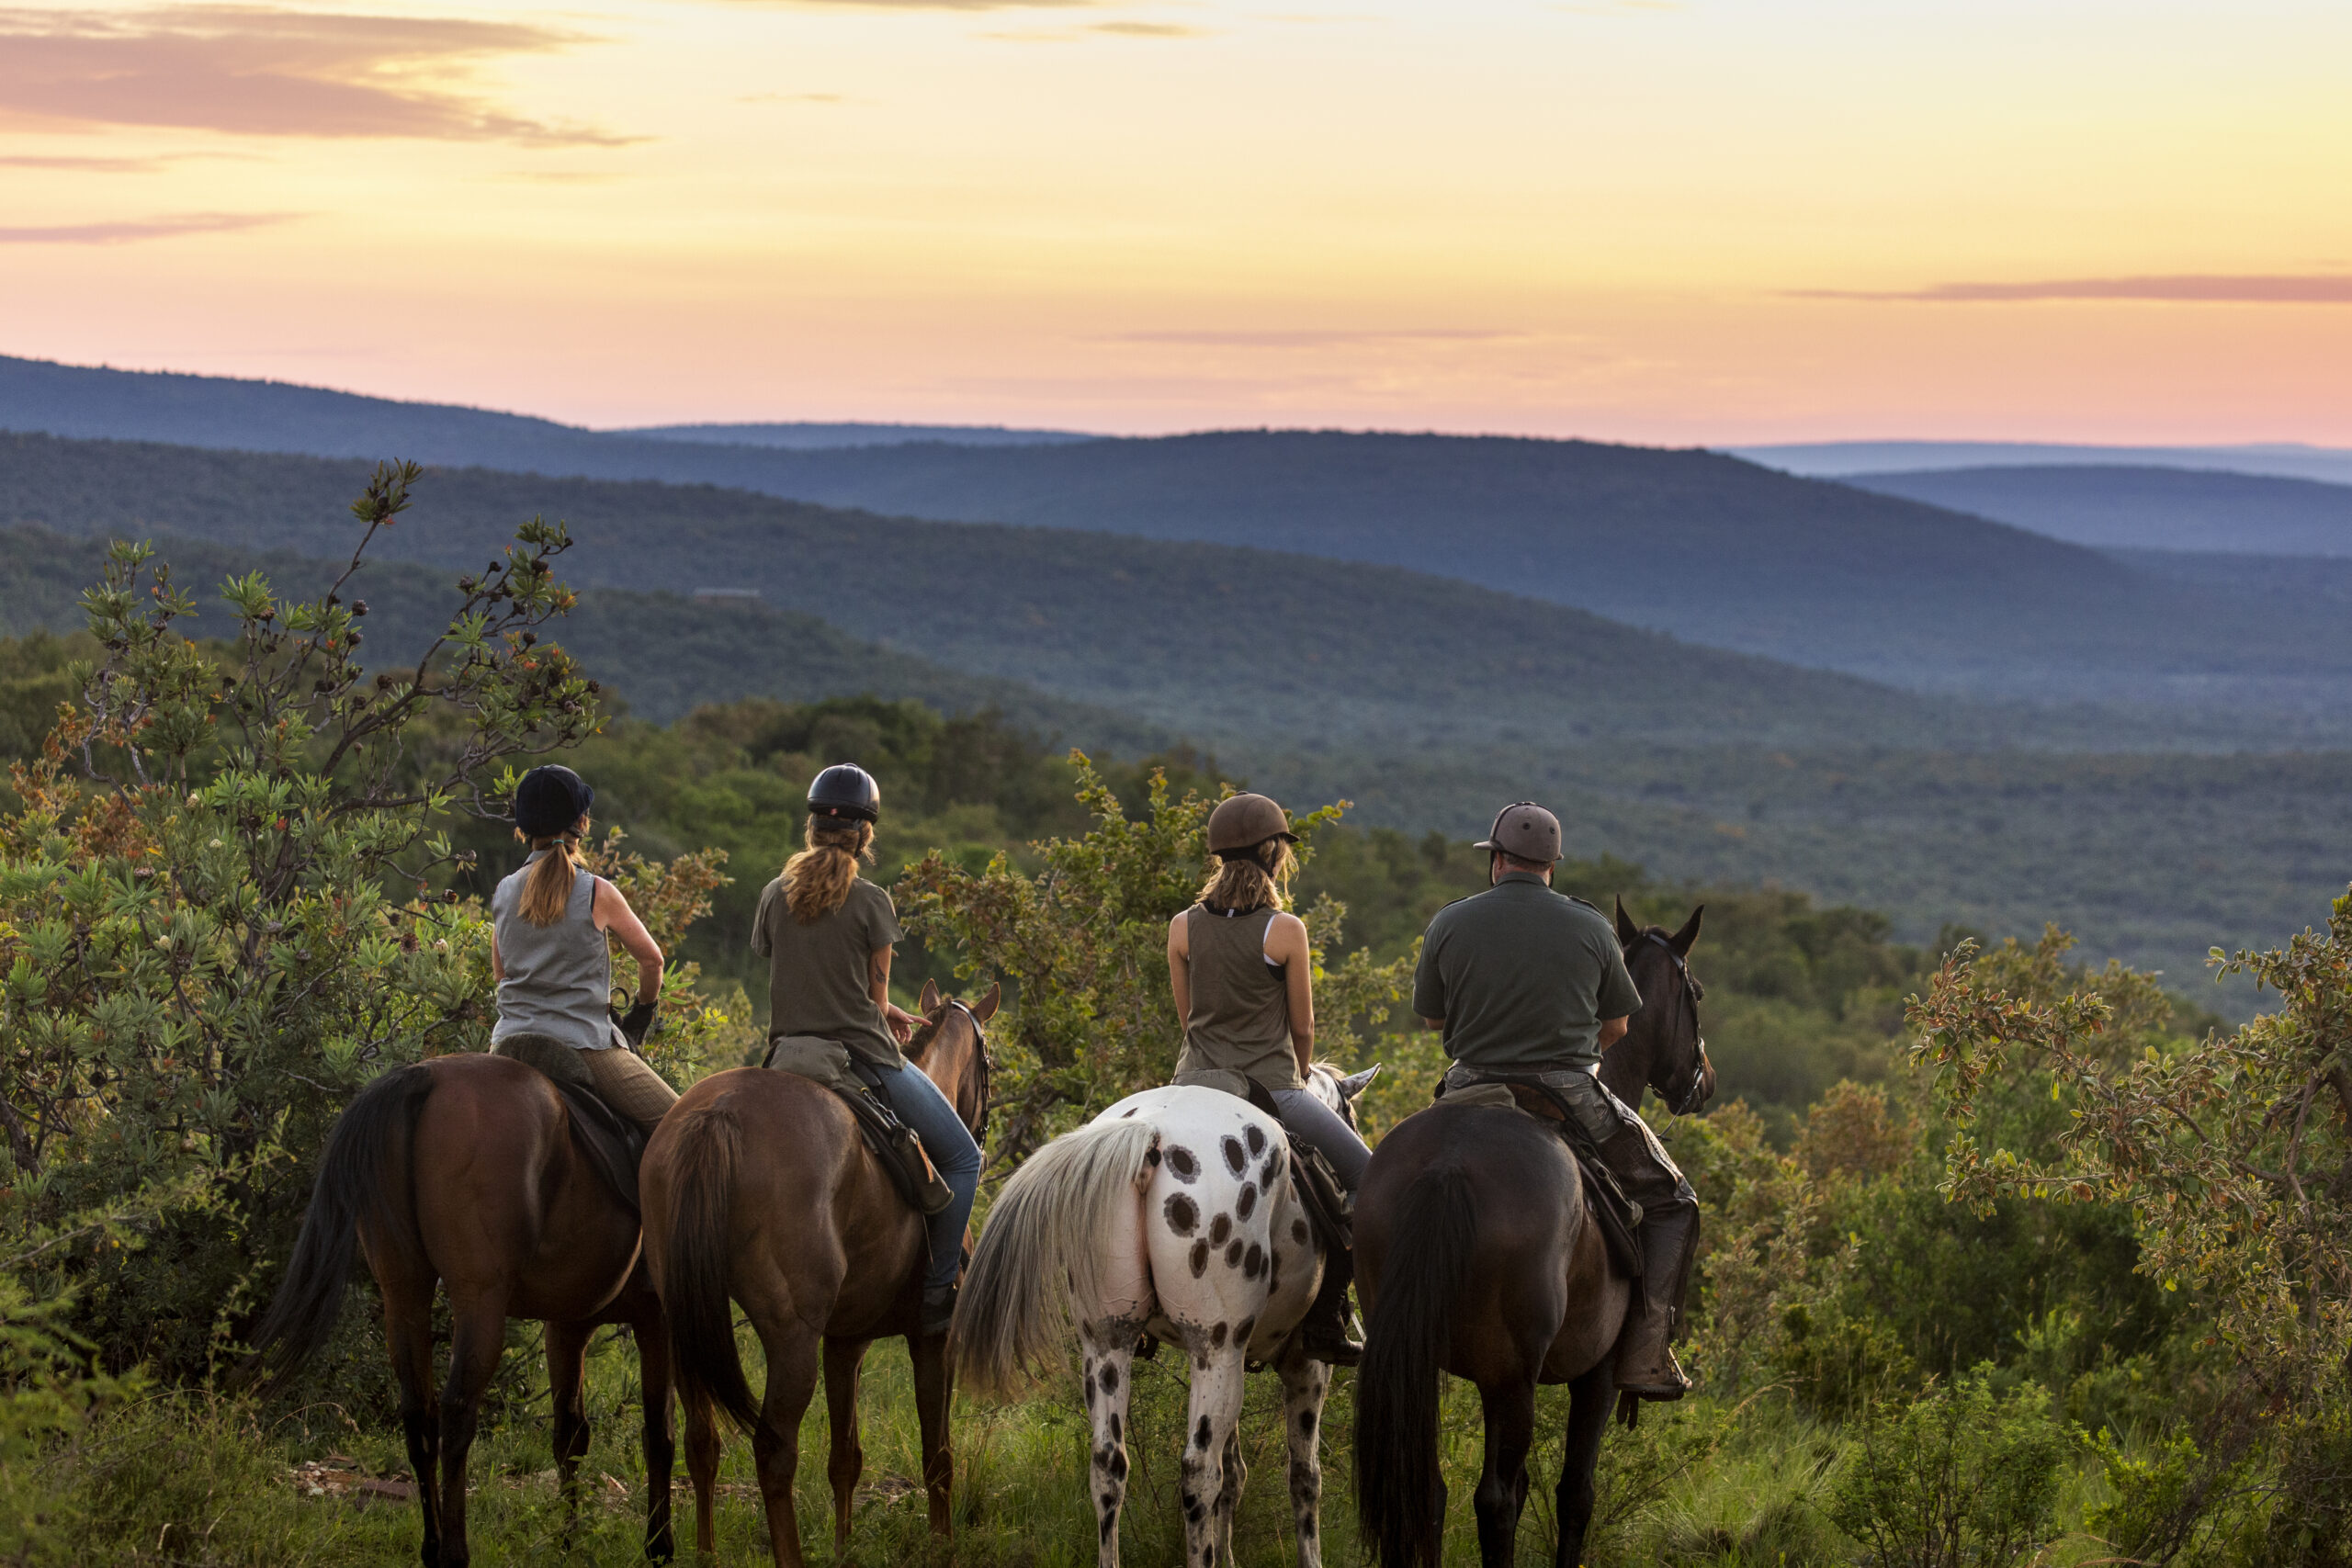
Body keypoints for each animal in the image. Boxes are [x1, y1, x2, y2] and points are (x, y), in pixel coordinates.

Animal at [245, 1053, 673, 1568]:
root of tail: (425, 1076)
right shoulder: (655, 1321)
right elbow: (659, 1435)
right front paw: (658, 1546)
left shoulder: (566, 1328)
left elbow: (571, 1434)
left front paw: (571, 1543)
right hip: (479, 1300)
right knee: (457, 1412)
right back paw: (454, 1551)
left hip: (403, 1291)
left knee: (418, 1411)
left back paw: (432, 1547)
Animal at [644, 982, 1001, 1568]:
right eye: (988, 1060)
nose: (982, 1133)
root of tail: (718, 1115)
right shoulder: (932, 1338)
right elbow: (938, 1455)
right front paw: (941, 1544)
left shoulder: (845, 1342)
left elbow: (845, 1459)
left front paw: (843, 1546)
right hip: (791, 1341)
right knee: (774, 1453)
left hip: (683, 1321)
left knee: (701, 1441)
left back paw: (707, 1553)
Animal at [945, 1066, 1374, 1568]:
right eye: (1351, 1116)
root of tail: (1149, 1130)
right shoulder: (1305, 1366)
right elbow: (1304, 1480)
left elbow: (1237, 1475)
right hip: (1216, 1351)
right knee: (1198, 1474)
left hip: (1111, 1344)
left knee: (1109, 1465)